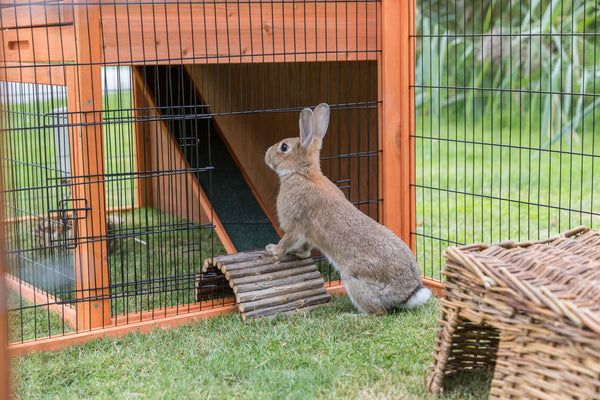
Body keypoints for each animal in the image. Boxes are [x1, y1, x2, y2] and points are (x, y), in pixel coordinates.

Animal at [264, 104, 432, 316]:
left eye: (284, 147)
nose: (266, 154)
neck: (302, 173)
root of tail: (408, 294)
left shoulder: (295, 224)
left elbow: (286, 242)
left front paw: (272, 250)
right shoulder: (307, 234)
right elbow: (304, 247)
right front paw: (300, 255)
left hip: (354, 280)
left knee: (378, 312)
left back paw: (350, 315)